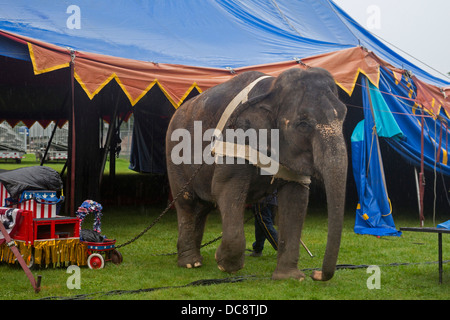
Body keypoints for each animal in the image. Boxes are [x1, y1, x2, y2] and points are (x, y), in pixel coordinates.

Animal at [165, 67, 348, 280]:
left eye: (344, 116)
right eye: (303, 124)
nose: (316, 274)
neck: (271, 88)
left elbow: (296, 197)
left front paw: (290, 277)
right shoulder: (236, 135)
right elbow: (224, 188)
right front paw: (225, 265)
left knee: (202, 208)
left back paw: (195, 259)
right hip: (174, 157)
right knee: (187, 203)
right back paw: (190, 263)